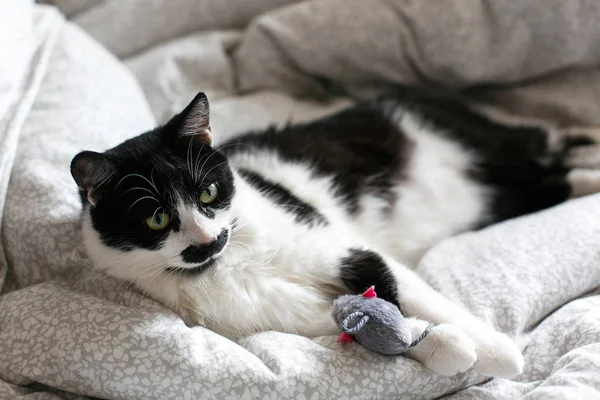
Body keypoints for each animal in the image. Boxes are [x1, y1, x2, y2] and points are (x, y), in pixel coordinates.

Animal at [70, 86, 600, 378]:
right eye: (157, 219)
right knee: (547, 181)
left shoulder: (341, 246)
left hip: (485, 145)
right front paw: (447, 349)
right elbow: (374, 319)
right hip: (503, 197)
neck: (232, 261)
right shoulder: (283, 314)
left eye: (208, 191)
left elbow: (414, 294)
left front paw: (498, 353)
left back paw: (587, 158)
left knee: (546, 145)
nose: (205, 239)